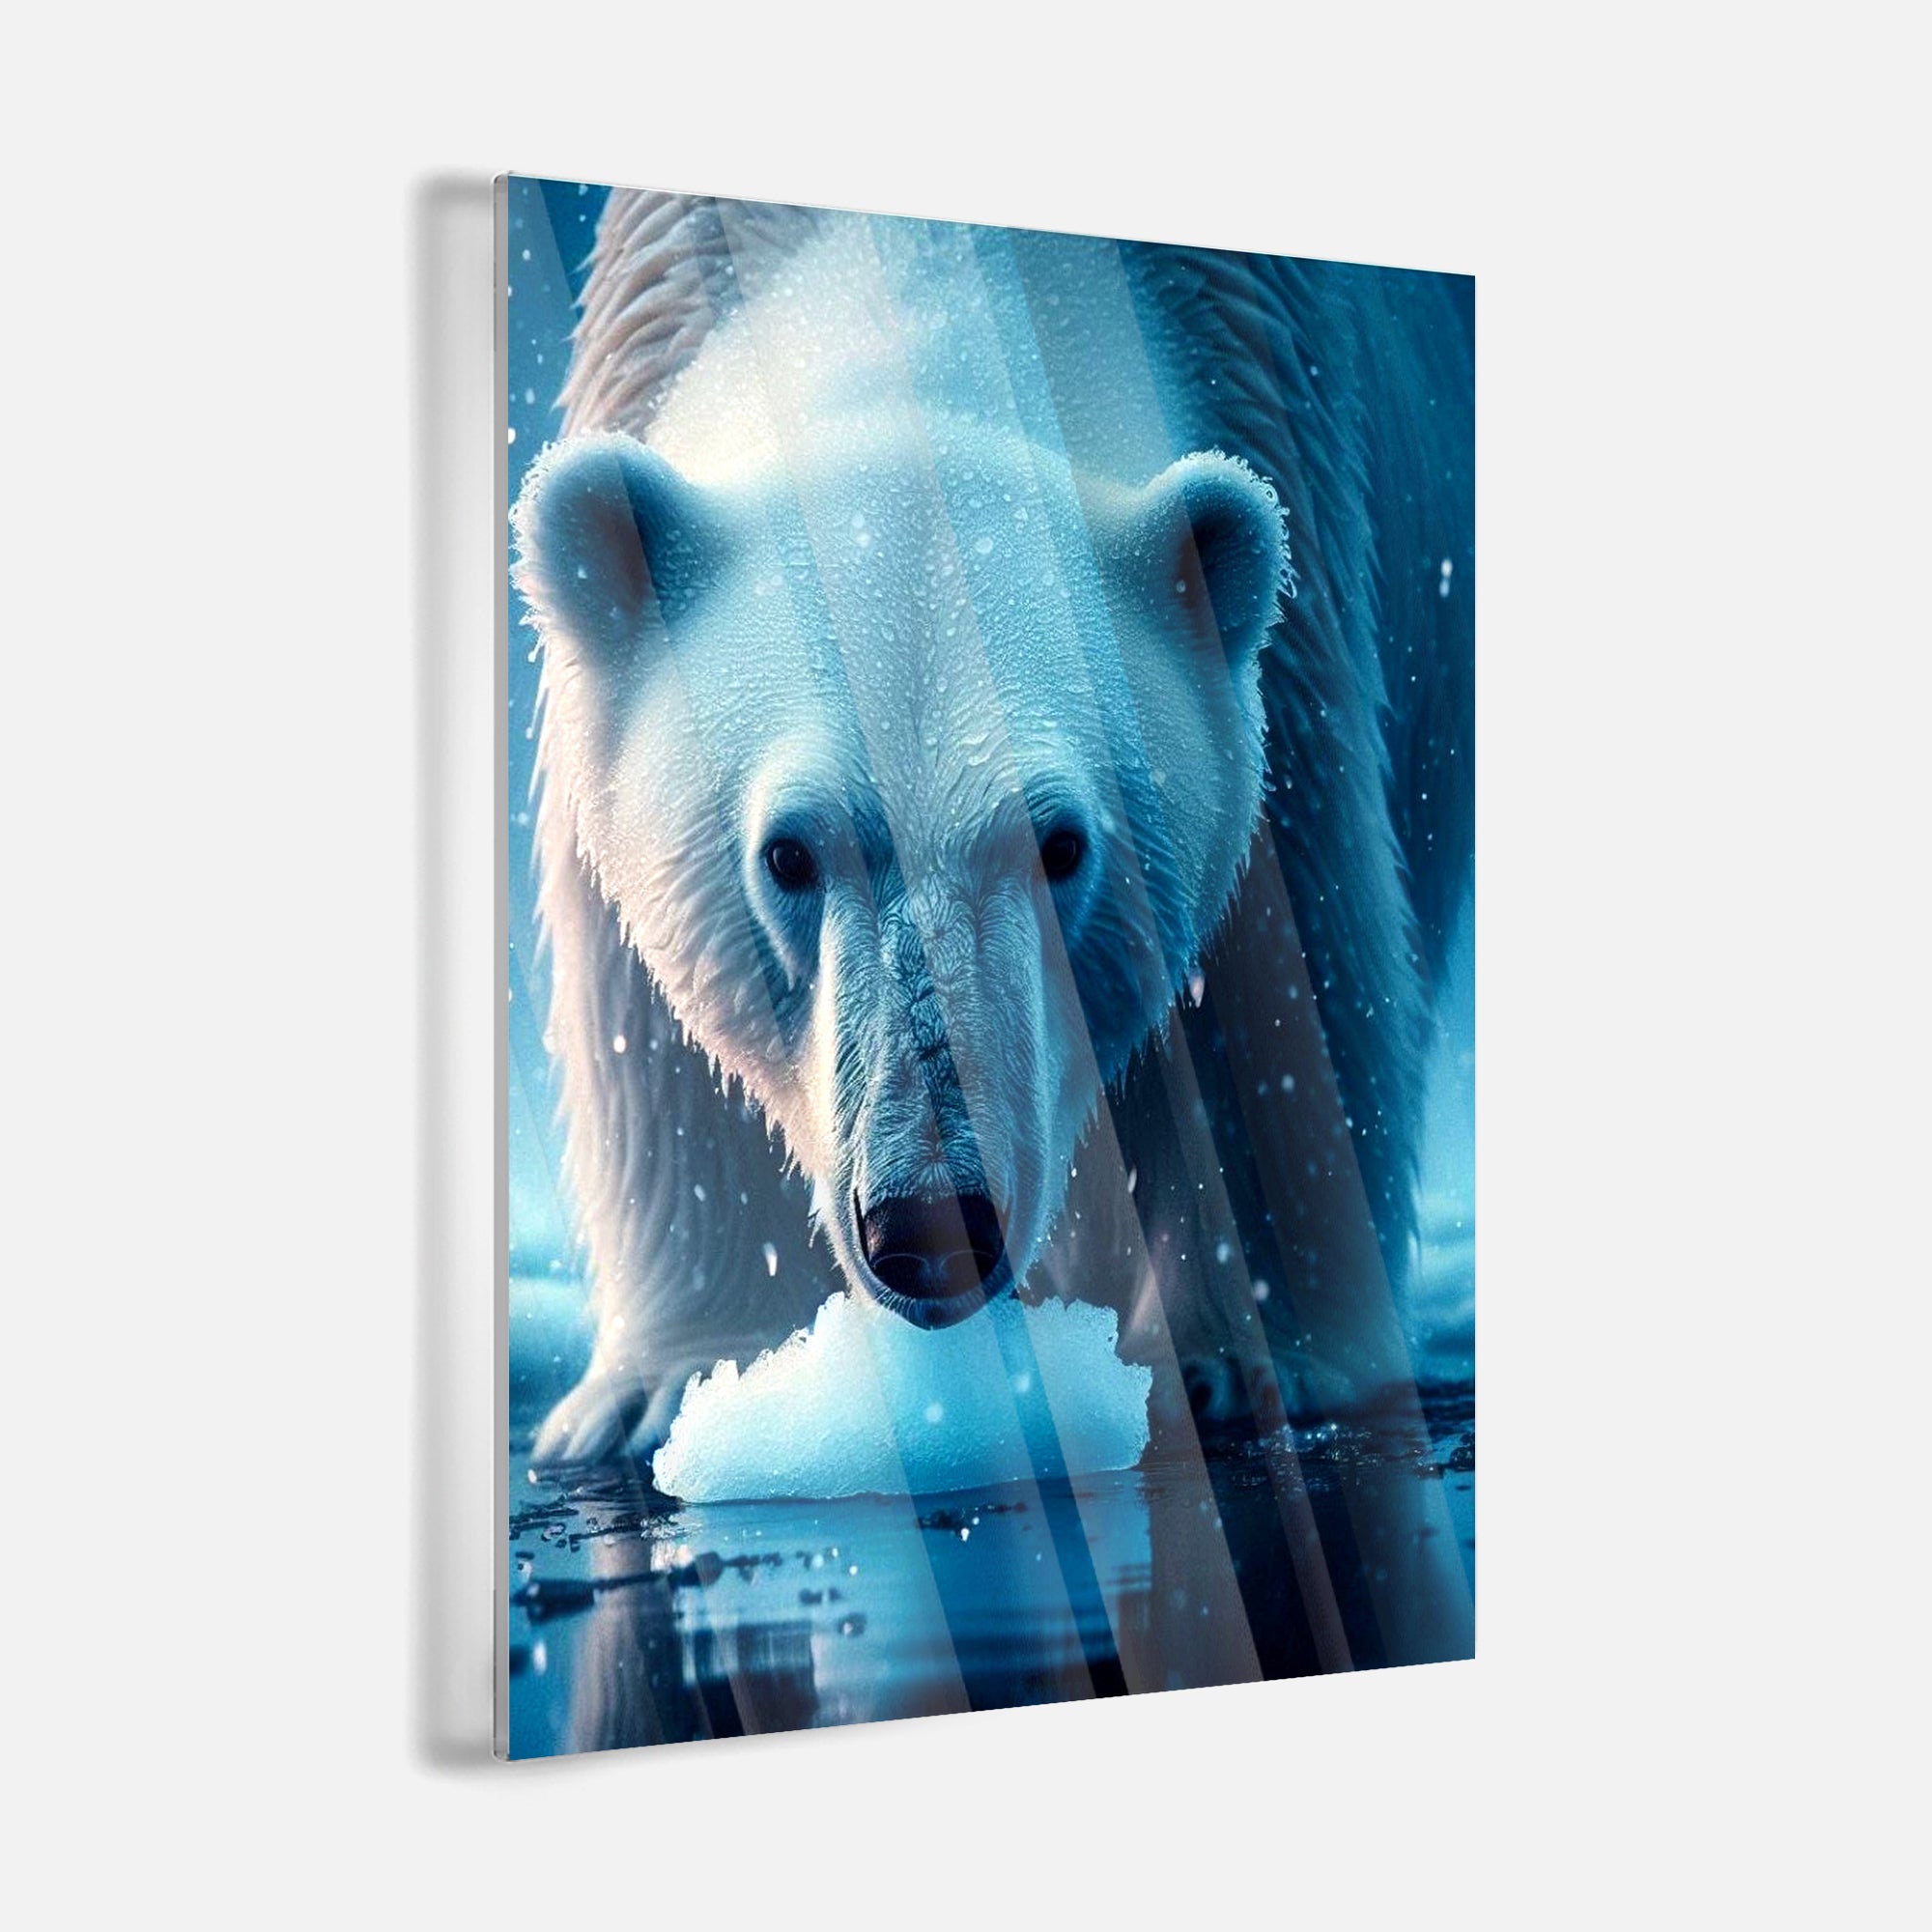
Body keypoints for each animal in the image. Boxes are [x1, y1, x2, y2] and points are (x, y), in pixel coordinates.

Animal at [513, 192, 1474, 1466]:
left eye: (1057, 842)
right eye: (786, 852)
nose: (928, 1221)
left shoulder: (1296, 523)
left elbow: (1275, 984)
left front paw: (1245, 1360)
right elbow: (653, 1028)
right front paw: (668, 1387)